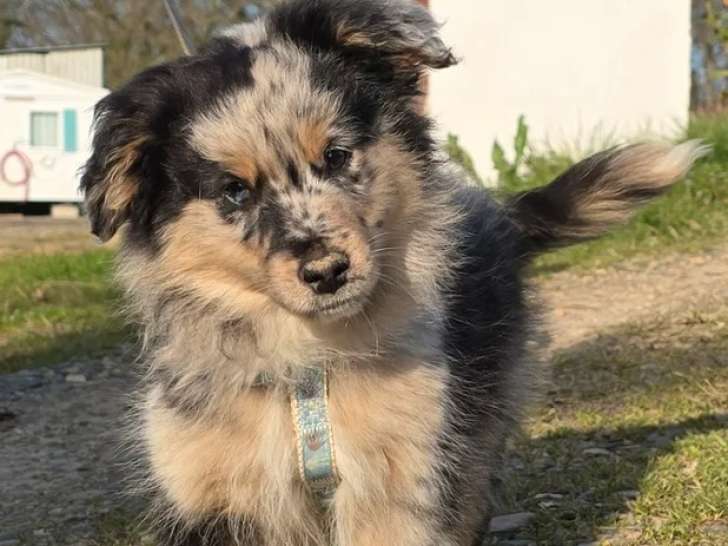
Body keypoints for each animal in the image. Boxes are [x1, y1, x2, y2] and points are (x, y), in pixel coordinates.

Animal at [80, 1, 706, 544]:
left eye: (336, 156)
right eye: (233, 190)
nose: (327, 271)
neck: (306, 362)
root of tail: (499, 216)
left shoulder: (401, 472)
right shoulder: (209, 486)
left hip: (475, 422)